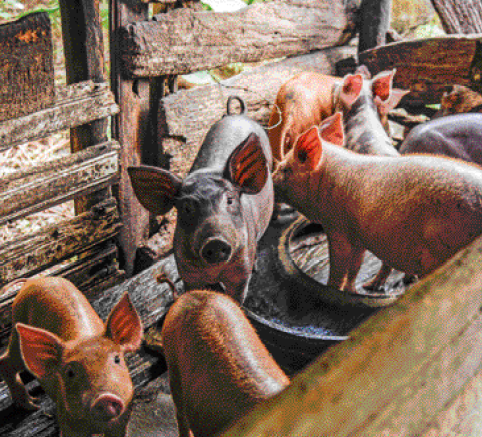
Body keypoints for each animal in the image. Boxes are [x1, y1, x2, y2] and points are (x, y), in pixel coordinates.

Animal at [0, 276, 143, 436]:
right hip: (17, 327)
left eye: (117, 359)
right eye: (69, 373)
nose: (104, 397)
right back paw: (33, 405)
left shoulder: (122, 421)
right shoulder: (67, 421)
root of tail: (34, 279)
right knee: (4, 361)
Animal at [128, 97, 274, 304]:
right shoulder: (187, 273)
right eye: (187, 207)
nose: (215, 242)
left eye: (230, 200)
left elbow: (237, 298)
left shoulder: (240, 274)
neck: (215, 272)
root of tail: (238, 114)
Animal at [274, 111, 482, 296]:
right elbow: (355, 266)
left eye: (284, 169)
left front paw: (331, 290)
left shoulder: (337, 228)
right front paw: (353, 291)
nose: (271, 181)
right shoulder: (358, 235)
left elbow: (339, 268)